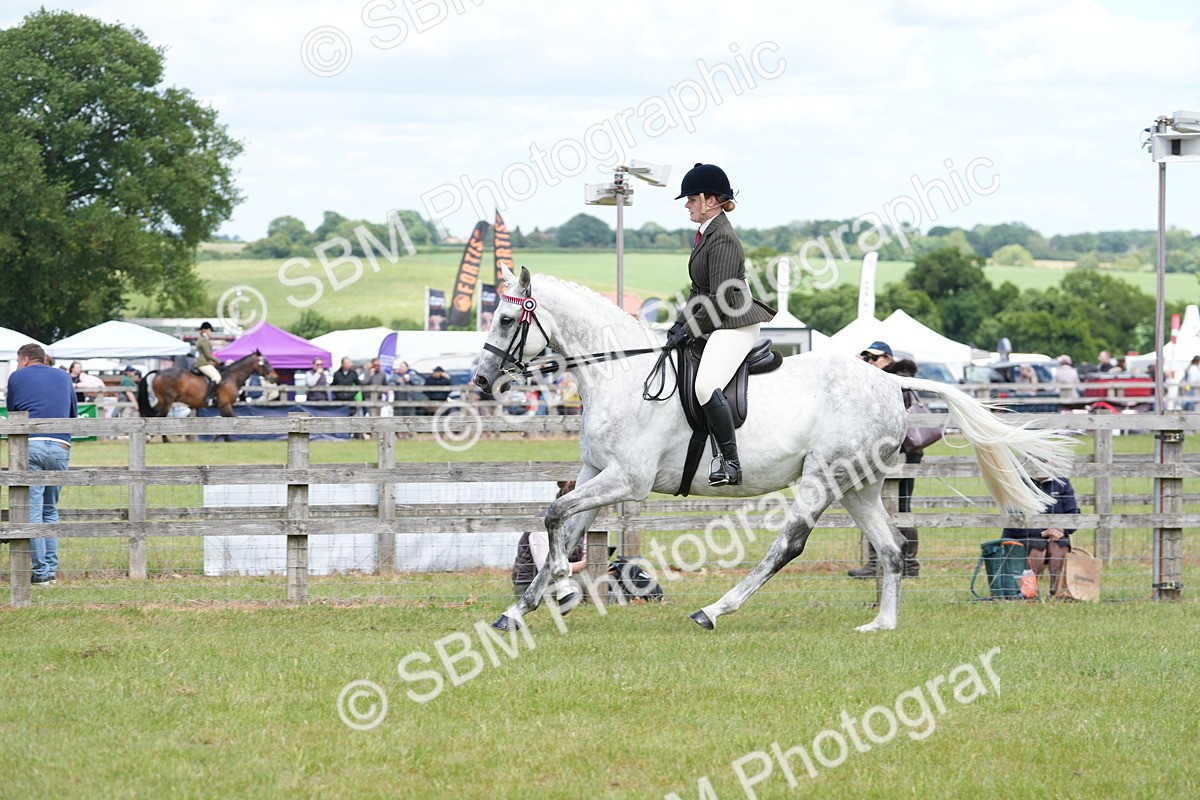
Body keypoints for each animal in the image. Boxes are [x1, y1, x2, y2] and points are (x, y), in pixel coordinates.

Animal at [137, 351, 276, 420]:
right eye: (265, 362)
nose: (275, 377)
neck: (232, 376)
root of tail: (159, 371)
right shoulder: (226, 405)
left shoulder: (223, 406)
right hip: (167, 401)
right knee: (159, 417)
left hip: (162, 401)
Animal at [473, 267, 1073, 633]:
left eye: (505, 318)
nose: (480, 381)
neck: (619, 372)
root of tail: (889, 382)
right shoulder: (595, 469)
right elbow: (564, 522)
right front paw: (520, 610)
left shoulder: (627, 478)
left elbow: (555, 516)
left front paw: (554, 588)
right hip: (858, 485)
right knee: (891, 547)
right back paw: (881, 623)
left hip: (823, 477)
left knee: (789, 544)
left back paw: (714, 610)